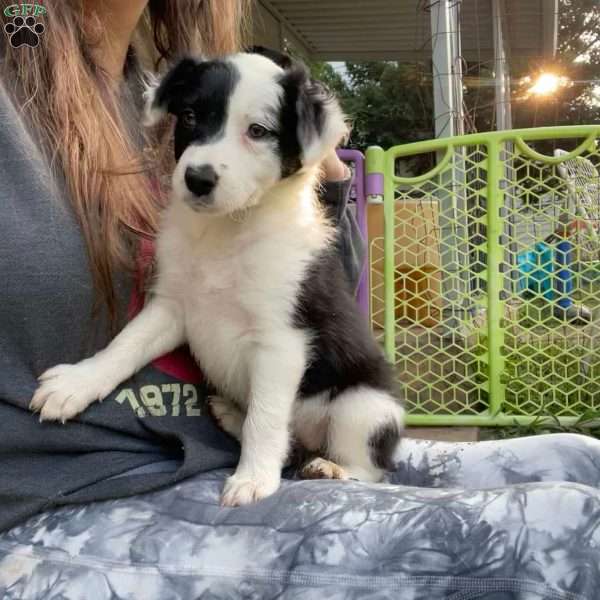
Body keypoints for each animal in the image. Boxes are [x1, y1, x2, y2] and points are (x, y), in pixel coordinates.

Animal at [30, 52, 406, 506]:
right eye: (191, 116)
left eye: (258, 131)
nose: (198, 179)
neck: (227, 230)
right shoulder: (173, 305)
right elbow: (125, 344)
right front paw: (78, 382)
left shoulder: (281, 340)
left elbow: (265, 418)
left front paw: (253, 479)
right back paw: (231, 415)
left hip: (365, 405)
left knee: (369, 467)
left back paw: (331, 468)